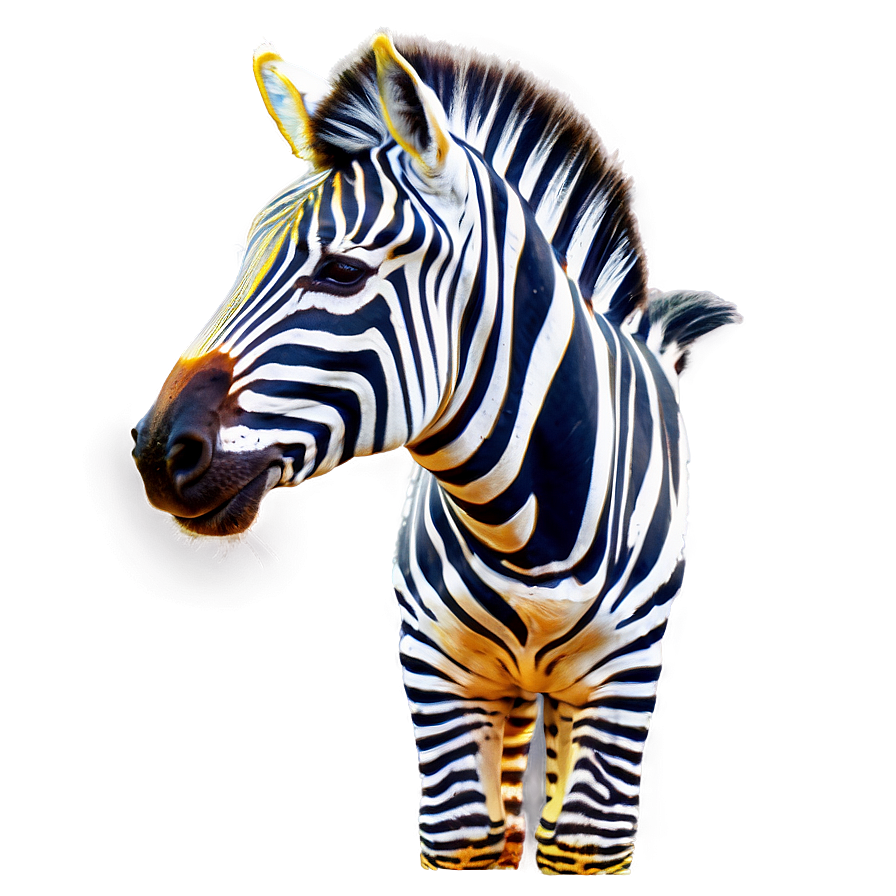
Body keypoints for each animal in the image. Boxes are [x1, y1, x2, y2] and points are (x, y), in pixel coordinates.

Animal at [132, 31, 740, 874]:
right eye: (240, 260)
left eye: (341, 271)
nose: (159, 453)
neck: (529, 533)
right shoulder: (440, 684)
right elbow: (465, 832)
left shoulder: (621, 693)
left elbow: (582, 838)